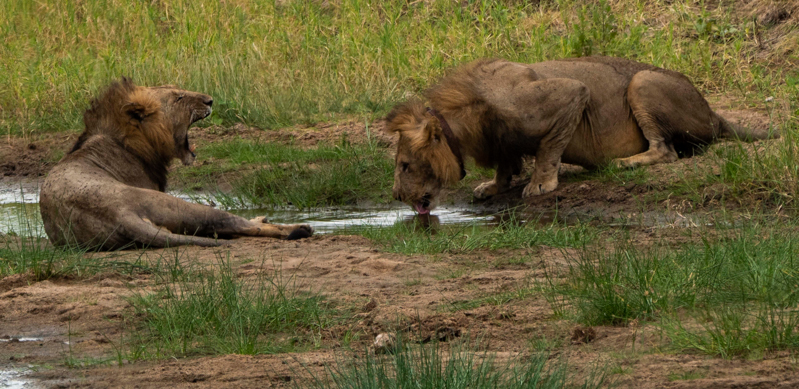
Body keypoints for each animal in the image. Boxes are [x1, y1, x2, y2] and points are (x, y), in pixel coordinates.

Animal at [40, 78, 314, 249]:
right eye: (179, 97)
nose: (210, 100)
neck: (129, 141)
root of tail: (119, 215)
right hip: (178, 205)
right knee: (235, 224)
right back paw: (296, 227)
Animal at [388, 56, 776, 214]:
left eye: (405, 165)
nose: (395, 196)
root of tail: (714, 112)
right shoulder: (501, 142)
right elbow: (505, 164)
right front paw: (494, 186)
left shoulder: (568, 94)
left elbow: (549, 148)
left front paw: (540, 184)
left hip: (643, 81)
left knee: (666, 151)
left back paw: (626, 162)